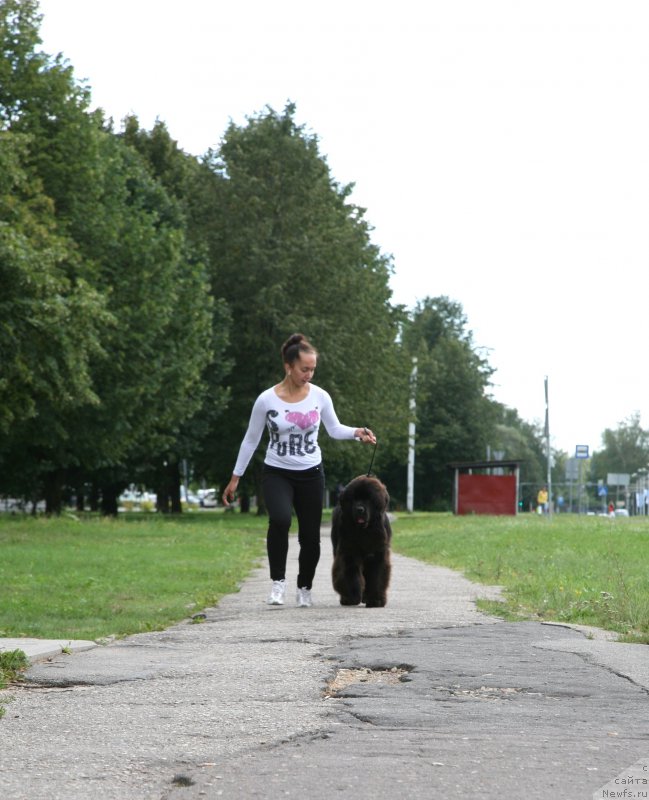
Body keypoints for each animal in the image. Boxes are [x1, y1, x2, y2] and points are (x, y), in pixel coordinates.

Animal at [330, 476, 390, 608]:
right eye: (354, 499)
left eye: (369, 499)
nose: (360, 509)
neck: (364, 531)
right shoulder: (348, 552)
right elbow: (350, 573)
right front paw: (352, 597)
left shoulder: (377, 553)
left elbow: (376, 576)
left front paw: (375, 600)